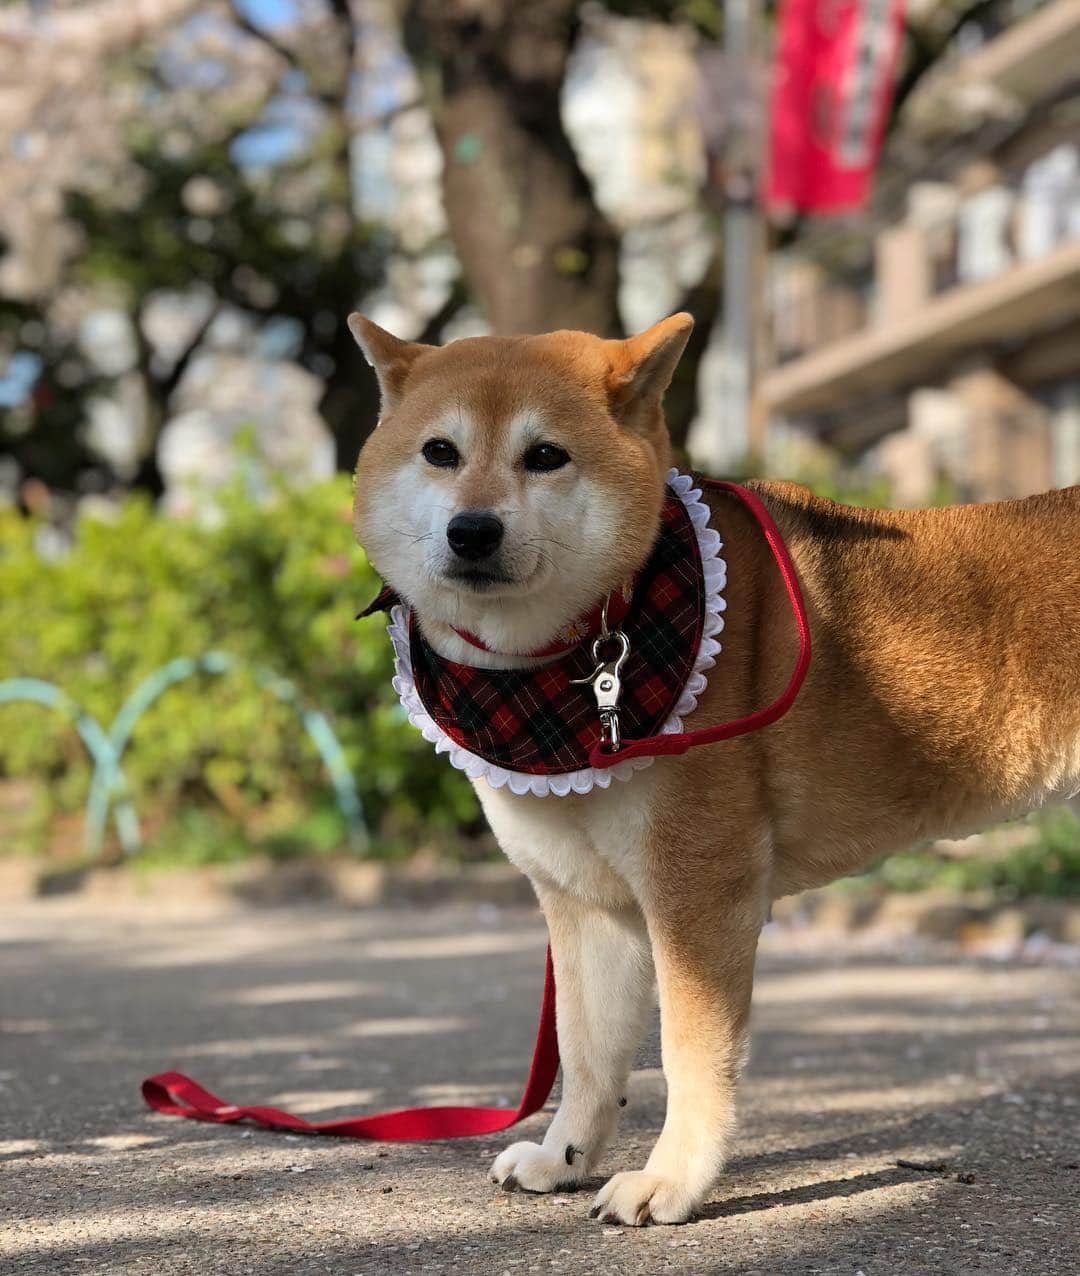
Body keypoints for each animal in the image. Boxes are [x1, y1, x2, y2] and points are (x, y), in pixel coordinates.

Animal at [349, 308, 1080, 1224]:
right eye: (440, 452)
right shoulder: (586, 902)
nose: (472, 530)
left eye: (545, 455)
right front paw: (565, 1155)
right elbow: (588, 1053)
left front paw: (672, 1178)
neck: (567, 659)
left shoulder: (697, 885)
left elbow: (688, 1053)